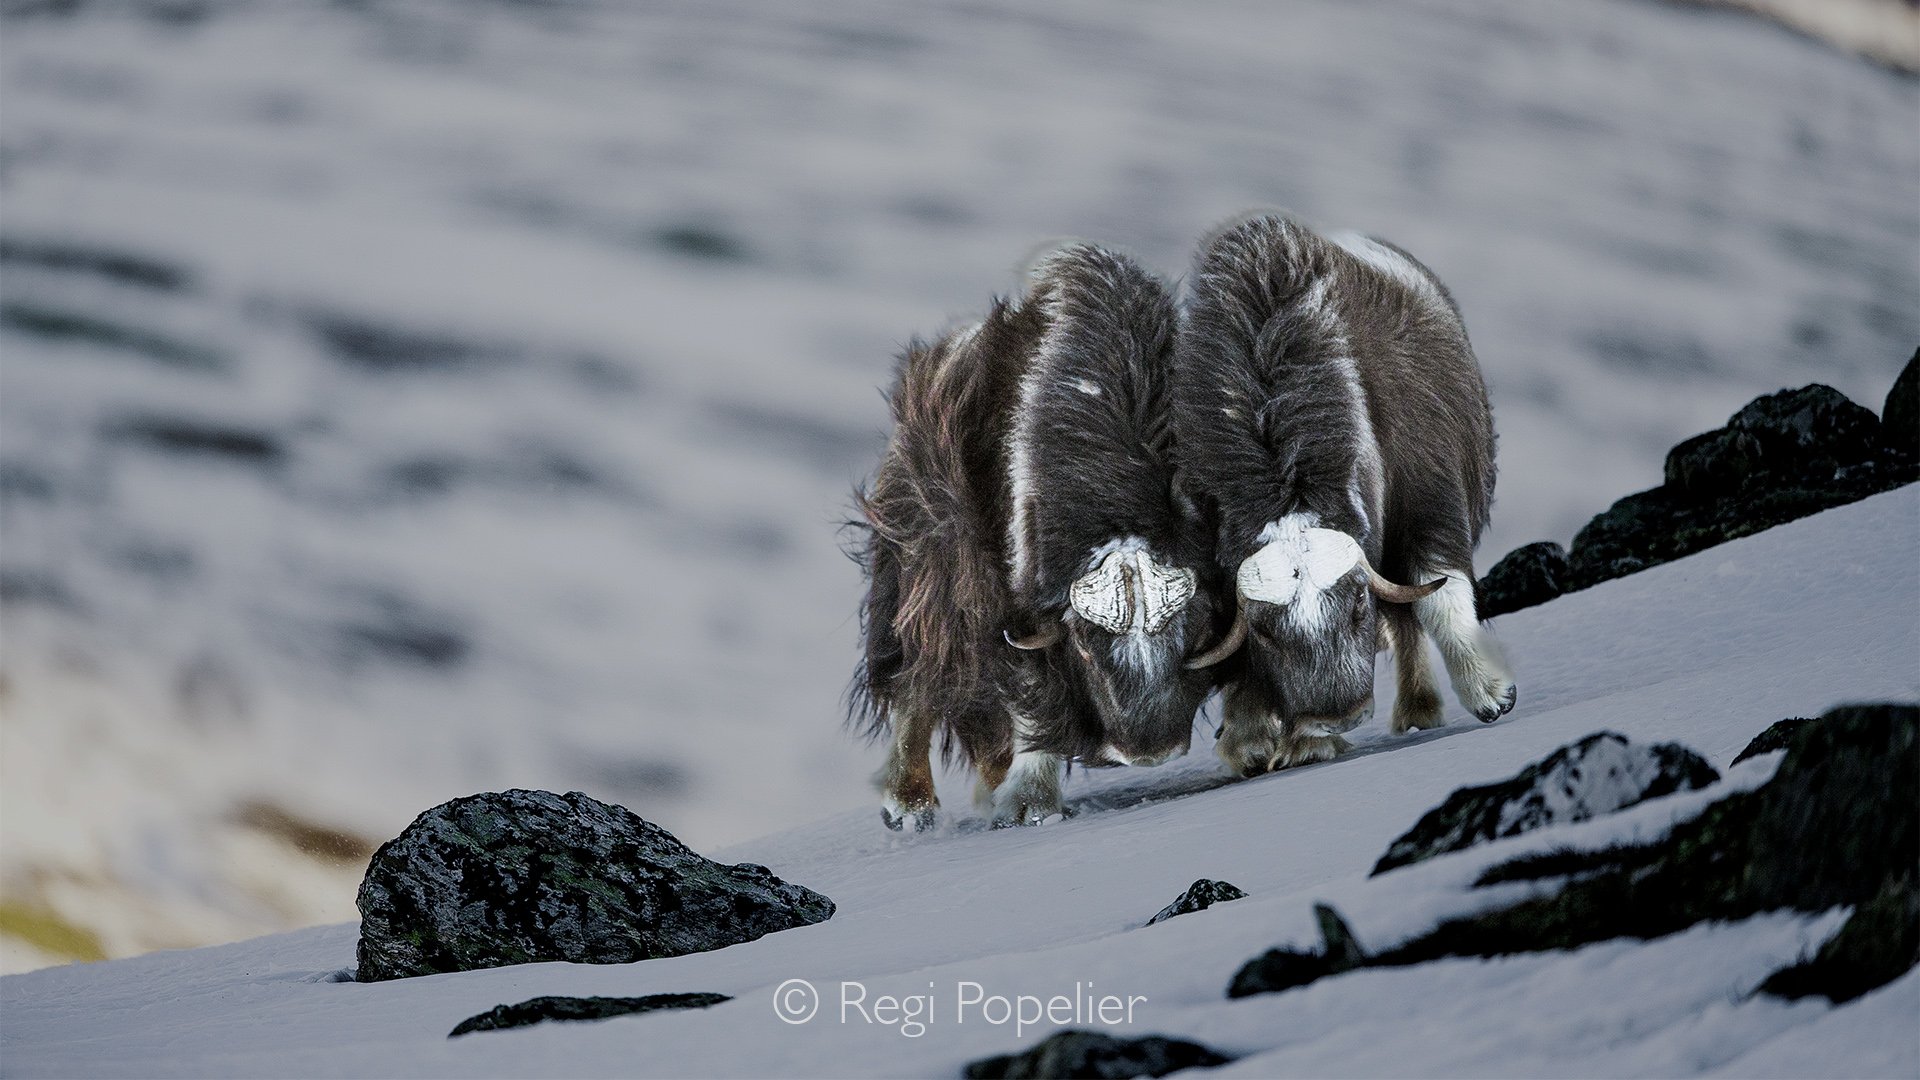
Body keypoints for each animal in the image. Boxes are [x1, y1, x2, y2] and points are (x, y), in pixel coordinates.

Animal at [851, 243, 1231, 829]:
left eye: (1193, 632)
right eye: (1087, 649)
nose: (1149, 752)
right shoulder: (1008, 603)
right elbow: (1032, 694)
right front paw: (1033, 808)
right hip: (916, 583)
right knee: (914, 687)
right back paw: (912, 809)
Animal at [1170, 213, 1516, 777]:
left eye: (1356, 604)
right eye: (1265, 632)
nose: (1337, 716)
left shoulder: (1429, 501)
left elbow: (1440, 593)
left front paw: (1492, 695)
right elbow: (1240, 658)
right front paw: (1264, 744)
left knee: (1410, 615)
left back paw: (1419, 713)